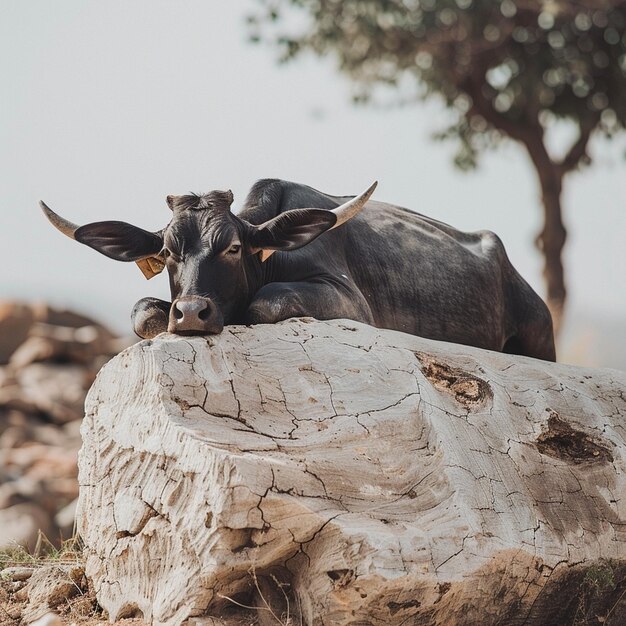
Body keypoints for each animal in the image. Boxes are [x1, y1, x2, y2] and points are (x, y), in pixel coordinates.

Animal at [41, 178, 552, 358]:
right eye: (167, 252)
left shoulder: (350, 302)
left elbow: (268, 301)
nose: (190, 314)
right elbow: (144, 310)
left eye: (233, 248)